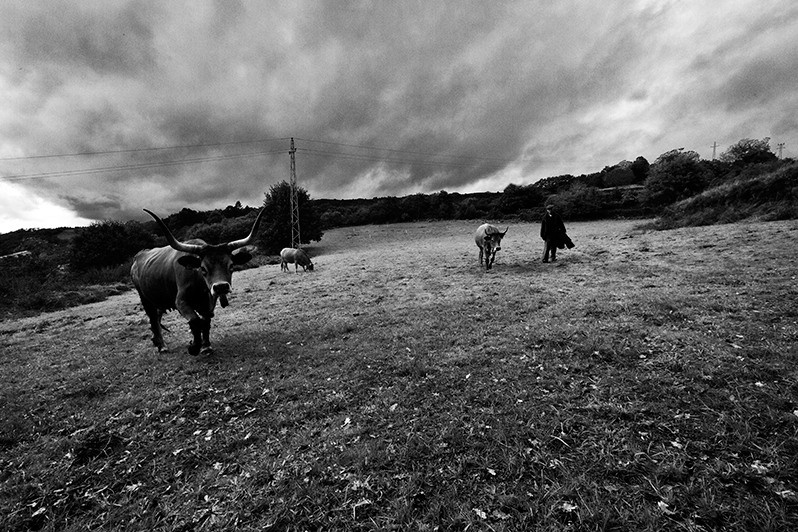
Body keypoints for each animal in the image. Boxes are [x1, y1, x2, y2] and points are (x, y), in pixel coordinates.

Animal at [130, 208, 265, 356]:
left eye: (231, 266)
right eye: (203, 268)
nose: (221, 287)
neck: (200, 285)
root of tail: (138, 257)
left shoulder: (209, 303)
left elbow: (205, 322)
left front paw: (206, 346)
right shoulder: (181, 301)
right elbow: (195, 320)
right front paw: (194, 347)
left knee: (157, 317)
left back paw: (156, 341)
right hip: (145, 299)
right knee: (153, 318)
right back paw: (162, 345)